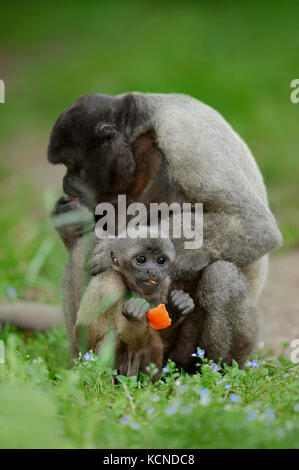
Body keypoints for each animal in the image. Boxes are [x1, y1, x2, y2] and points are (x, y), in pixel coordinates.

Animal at [77, 229, 195, 380]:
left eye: (161, 260)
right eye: (141, 259)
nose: (152, 270)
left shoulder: (164, 284)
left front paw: (177, 306)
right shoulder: (111, 286)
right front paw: (134, 315)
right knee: (115, 338)